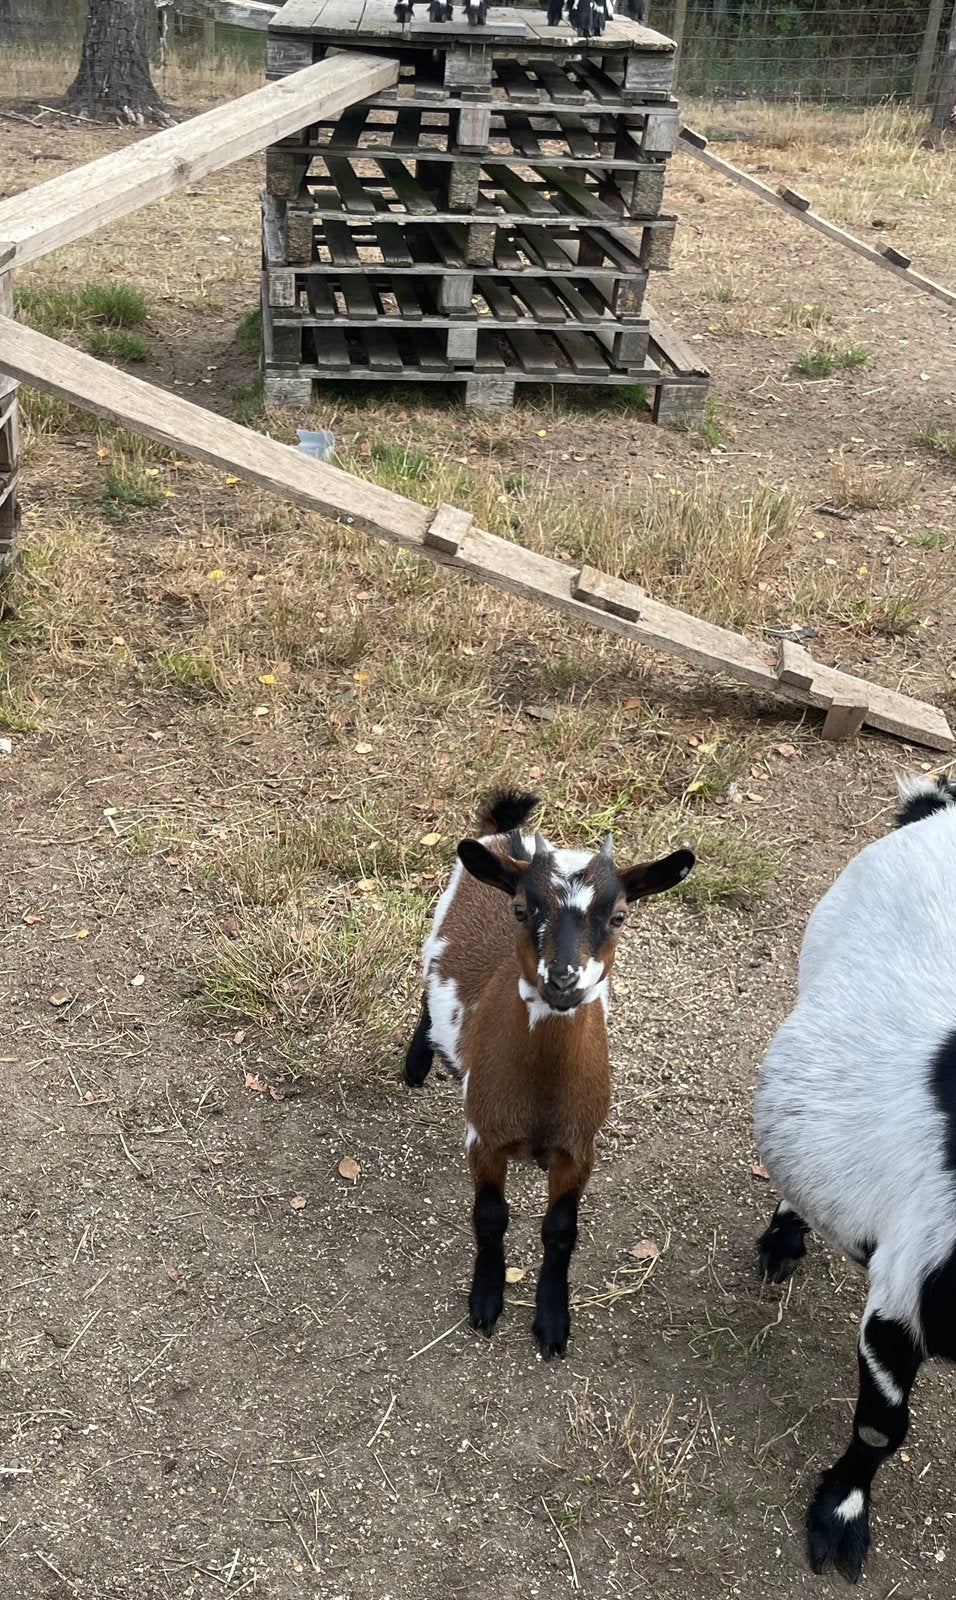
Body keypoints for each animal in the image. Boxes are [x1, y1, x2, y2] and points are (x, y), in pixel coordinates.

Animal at [405, 788, 693, 1358]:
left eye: (620, 915)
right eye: (520, 908)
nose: (563, 980)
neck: (540, 1096)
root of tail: (508, 836)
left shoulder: (578, 1149)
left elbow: (561, 1231)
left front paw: (553, 1321)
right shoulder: (484, 1136)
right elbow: (490, 1217)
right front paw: (486, 1301)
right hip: (434, 937)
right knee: (425, 990)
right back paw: (417, 1063)